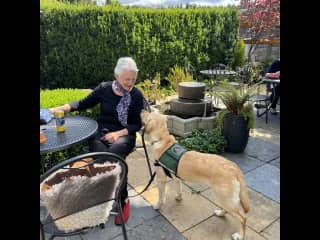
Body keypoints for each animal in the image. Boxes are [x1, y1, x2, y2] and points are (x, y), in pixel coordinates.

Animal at [141, 110, 250, 240]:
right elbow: (179, 188)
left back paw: (240, 235)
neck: (163, 139)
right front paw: (179, 197)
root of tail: (234, 167)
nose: (142, 110)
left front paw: (157, 205)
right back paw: (221, 213)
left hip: (226, 198)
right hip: (224, 198)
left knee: (243, 218)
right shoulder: (176, 177)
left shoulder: (160, 179)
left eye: (149, 113)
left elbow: (161, 196)